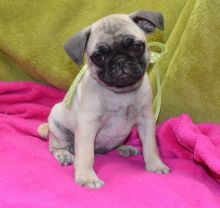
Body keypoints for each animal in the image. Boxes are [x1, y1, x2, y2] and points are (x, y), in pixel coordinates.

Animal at [37, 11, 170, 190]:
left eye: (136, 47)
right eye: (98, 57)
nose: (120, 60)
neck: (120, 93)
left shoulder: (146, 120)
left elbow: (150, 146)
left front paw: (155, 165)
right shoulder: (87, 125)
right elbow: (86, 154)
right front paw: (86, 177)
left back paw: (125, 148)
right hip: (57, 125)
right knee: (55, 146)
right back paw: (64, 154)